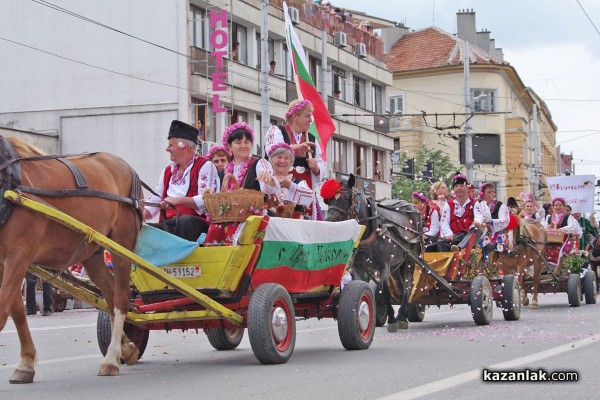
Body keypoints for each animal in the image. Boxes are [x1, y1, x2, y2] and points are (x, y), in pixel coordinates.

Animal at [0, 136, 143, 382]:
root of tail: (126, 166)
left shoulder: (18, 255)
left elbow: (3, 308)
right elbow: (16, 310)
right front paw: (26, 363)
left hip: (121, 246)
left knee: (121, 299)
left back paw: (111, 358)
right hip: (92, 253)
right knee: (110, 295)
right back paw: (126, 348)